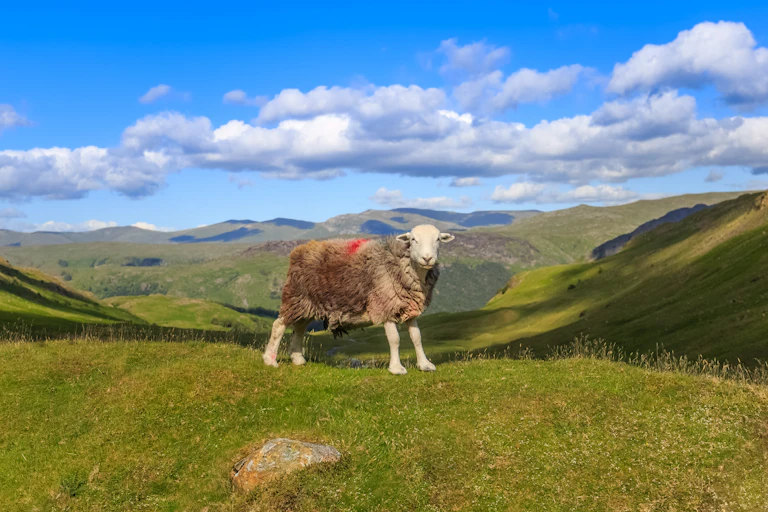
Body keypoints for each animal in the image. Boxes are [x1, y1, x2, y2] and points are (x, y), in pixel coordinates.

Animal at [262, 224, 455, 374]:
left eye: (438, 239)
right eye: (413, 239)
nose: (427, 258)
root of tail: (299, 250)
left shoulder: (409, 308)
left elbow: (417, 337)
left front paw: (425, 365)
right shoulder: (384, 306)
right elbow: (394, 339)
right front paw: (396, 368)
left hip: (308, 304)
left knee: (299, 329)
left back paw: (298, 358)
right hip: (295, 297)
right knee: (279, 325)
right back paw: (270, 360)